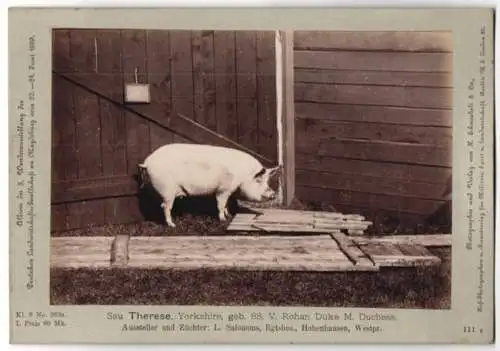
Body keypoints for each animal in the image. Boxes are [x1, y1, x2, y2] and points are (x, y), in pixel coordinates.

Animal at [137, 143, 282, 228]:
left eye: (267, 181)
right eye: (259, 180)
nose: (273, 194)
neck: (243, 176)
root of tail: (147, 162)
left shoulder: (228, 191)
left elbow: (227, 204)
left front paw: (229, 216)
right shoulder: (223, 189)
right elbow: (221, 204)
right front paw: (223, 220)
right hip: (167, 190)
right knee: (165, 206)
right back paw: (172, 225)